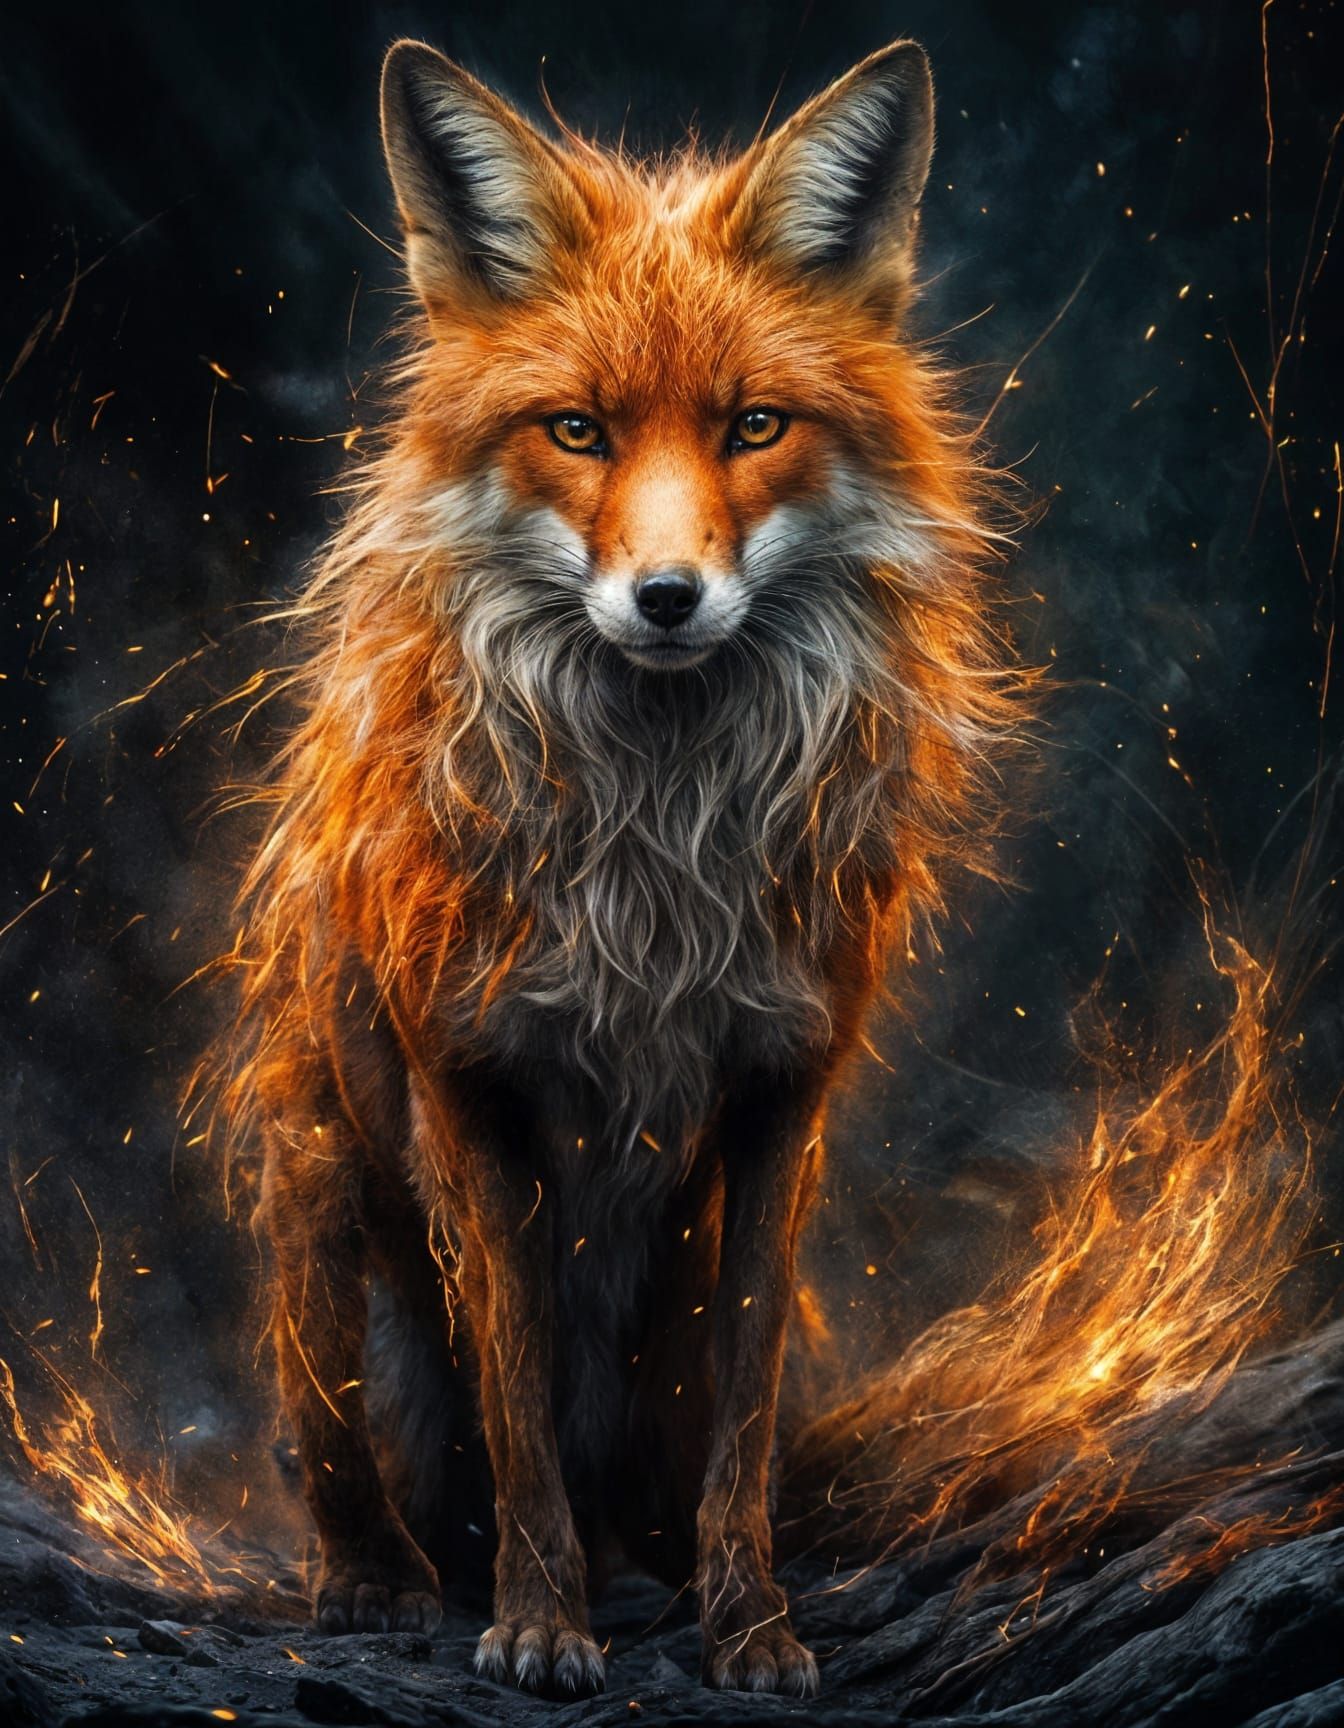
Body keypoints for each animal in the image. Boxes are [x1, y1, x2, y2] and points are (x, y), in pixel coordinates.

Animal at [233, 34, 1024, 1700]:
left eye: (753, 427)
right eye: (578, 430)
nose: (667, 598)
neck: (658, 862)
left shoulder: (781, 1097)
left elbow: (743, 1439)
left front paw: (754, 1627)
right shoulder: (471, 1089)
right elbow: (520, 1404)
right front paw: (540, 1624)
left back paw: (646, 1575)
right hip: (322, 1207)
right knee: (348, 1470)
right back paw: (388, 1584)